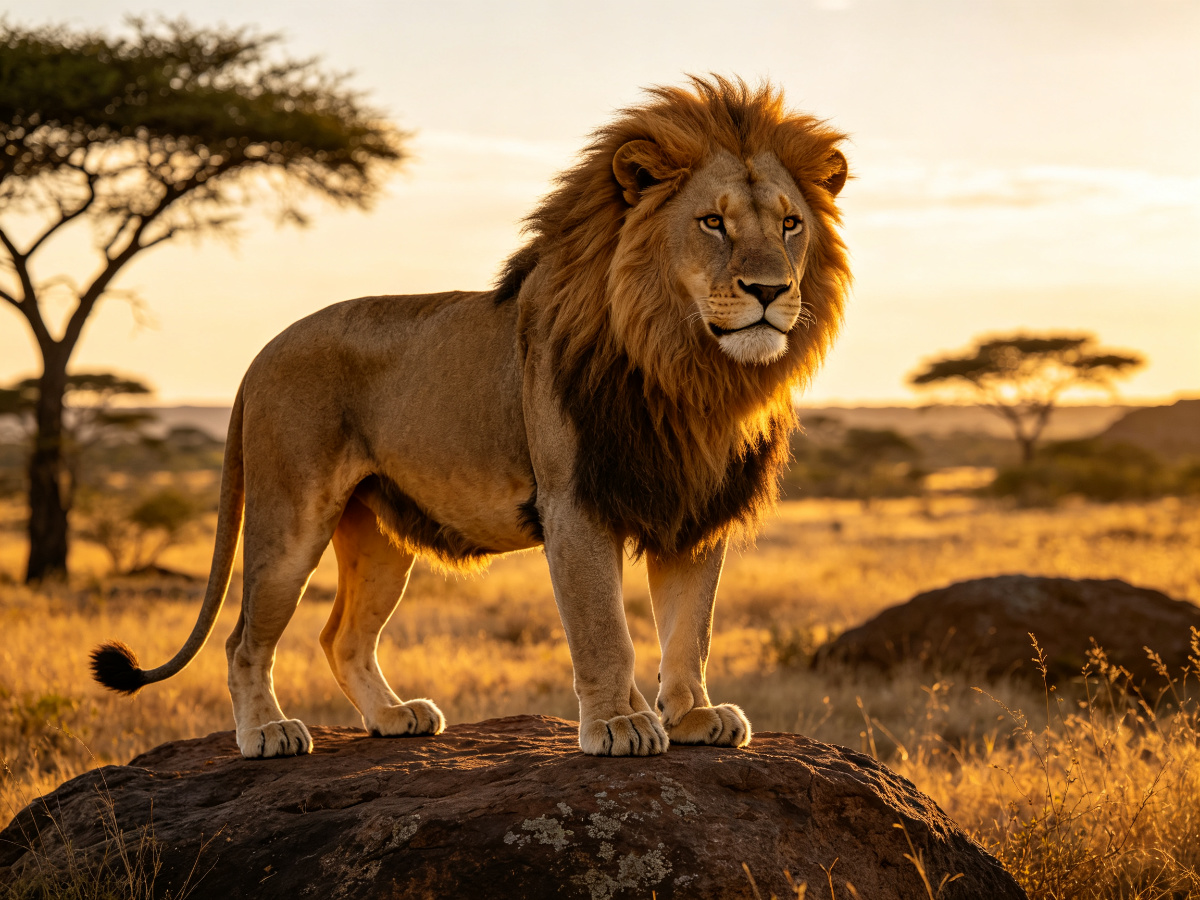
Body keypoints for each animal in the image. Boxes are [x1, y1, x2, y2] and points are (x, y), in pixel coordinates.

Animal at [91, 76, 851, 759]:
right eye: (712, 222)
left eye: (790, 224)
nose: (770, 290)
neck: (686, 367)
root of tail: (262, 352)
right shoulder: (574, 502)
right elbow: (605, 630)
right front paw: (620, 725)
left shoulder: (692, 504)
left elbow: (691, 628)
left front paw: (692, 716)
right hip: (290, 518)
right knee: (245, 637)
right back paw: (267, 734)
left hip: (379, 535)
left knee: (341, 637)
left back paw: (393, 716)